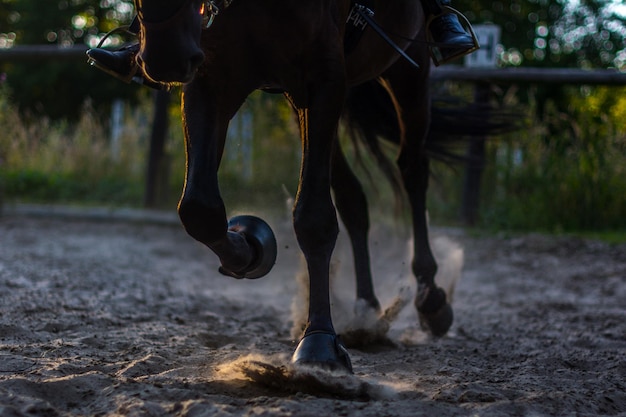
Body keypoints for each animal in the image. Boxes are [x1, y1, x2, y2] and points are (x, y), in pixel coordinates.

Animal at [133, 0, 454, 370]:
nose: (165, 53)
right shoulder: (211, 77)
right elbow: (199, 209)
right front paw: (251, 247)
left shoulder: (323, 79)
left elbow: (313, 217)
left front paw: (319, 342)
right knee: (353, 198)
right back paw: (365, 312)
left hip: (408, 69)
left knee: (412, 171)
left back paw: (430, 297)